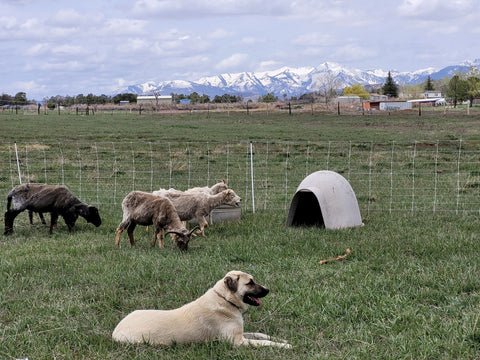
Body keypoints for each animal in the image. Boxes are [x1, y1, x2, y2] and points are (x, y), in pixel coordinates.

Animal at [112, 272, 292, 348]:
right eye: (250, 283)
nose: (268, 290)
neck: (224, 299)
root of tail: (115, 332)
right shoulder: (237, 341)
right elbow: (263, 342)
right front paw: (284, 346)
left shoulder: (241, 333)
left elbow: (260, 334)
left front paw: (282, 339)